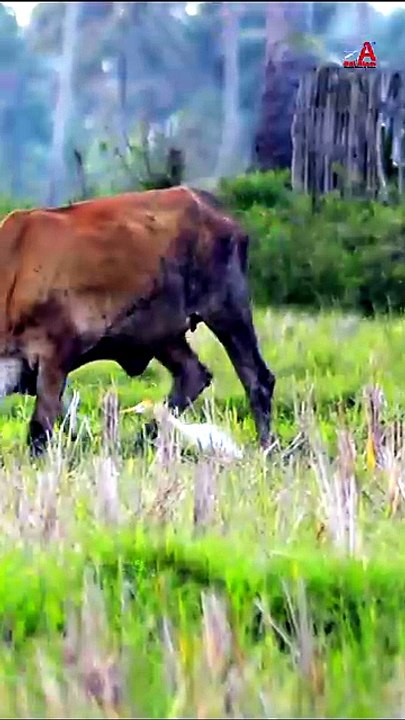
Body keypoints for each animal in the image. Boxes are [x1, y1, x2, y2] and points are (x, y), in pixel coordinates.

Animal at [0, 186, 275, 457]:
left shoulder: (55, 355)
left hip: (228, 312)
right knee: (192, 375)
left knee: (257, 379)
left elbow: (40, 426)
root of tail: (217, 211)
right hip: (162, 335)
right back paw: (142, 441)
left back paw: (267, 449)